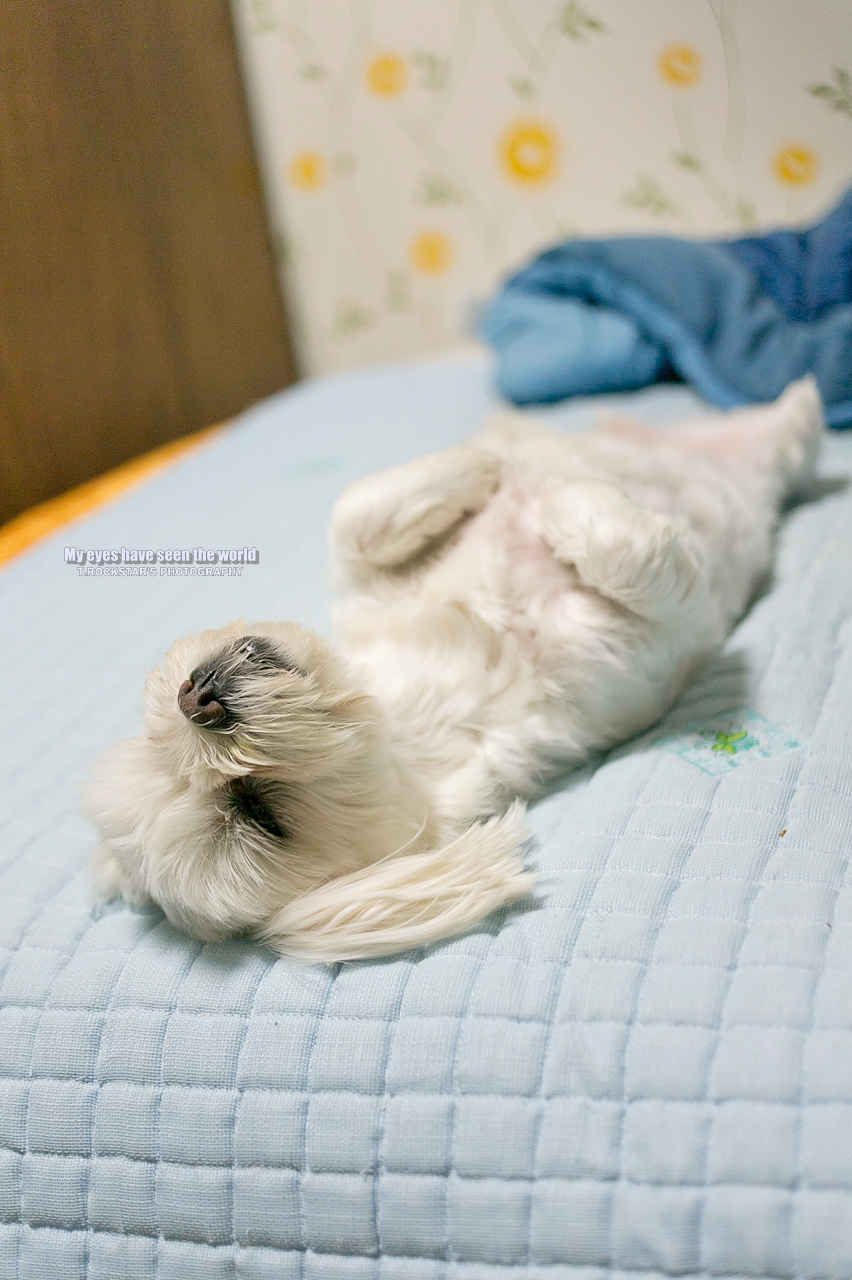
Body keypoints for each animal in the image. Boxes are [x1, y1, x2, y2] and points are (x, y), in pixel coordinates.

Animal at [85, 379, 823, 961]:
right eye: (258, 811)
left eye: (154, 735)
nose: (198, 699)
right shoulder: (644, 645)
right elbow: (624, 549)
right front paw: (561, 507)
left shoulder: (365, 584)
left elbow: (355, 517)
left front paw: (481, 465)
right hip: (757, 482)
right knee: (787, 447)